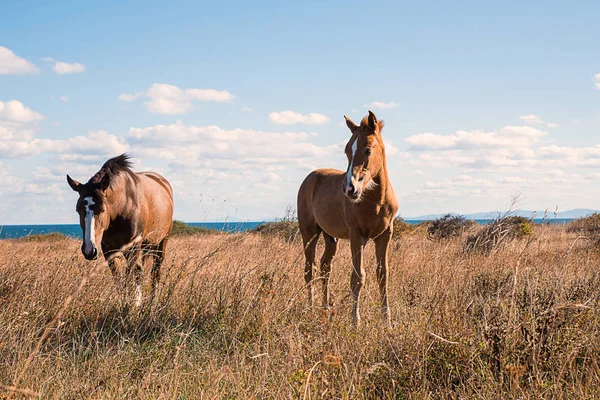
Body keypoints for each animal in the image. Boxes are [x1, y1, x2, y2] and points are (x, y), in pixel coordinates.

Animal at [67, 153, 173, 306]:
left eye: (102, 210)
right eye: (77, 210)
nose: (89, 250)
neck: (123, 206)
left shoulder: (133, 249)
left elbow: (129, 278)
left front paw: (130, 306)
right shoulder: (109, 251)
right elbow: (118, 279)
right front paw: (124, 302)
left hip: (161, 242)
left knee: (155, 272)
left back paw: (152, 301)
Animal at [296, 110, 398, 324]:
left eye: (367, 150)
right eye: (346, 151)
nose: (350, 189)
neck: (375, 201)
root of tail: (310, 177)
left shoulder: (385, 235)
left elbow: (382, 274)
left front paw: (386, 320)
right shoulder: (356, 236)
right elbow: (358, 277)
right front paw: (355, 321)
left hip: (330, 237)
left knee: (325, 267)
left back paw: (325, 308)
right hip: (309, 232)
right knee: (309, 270)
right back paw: (310, 310)